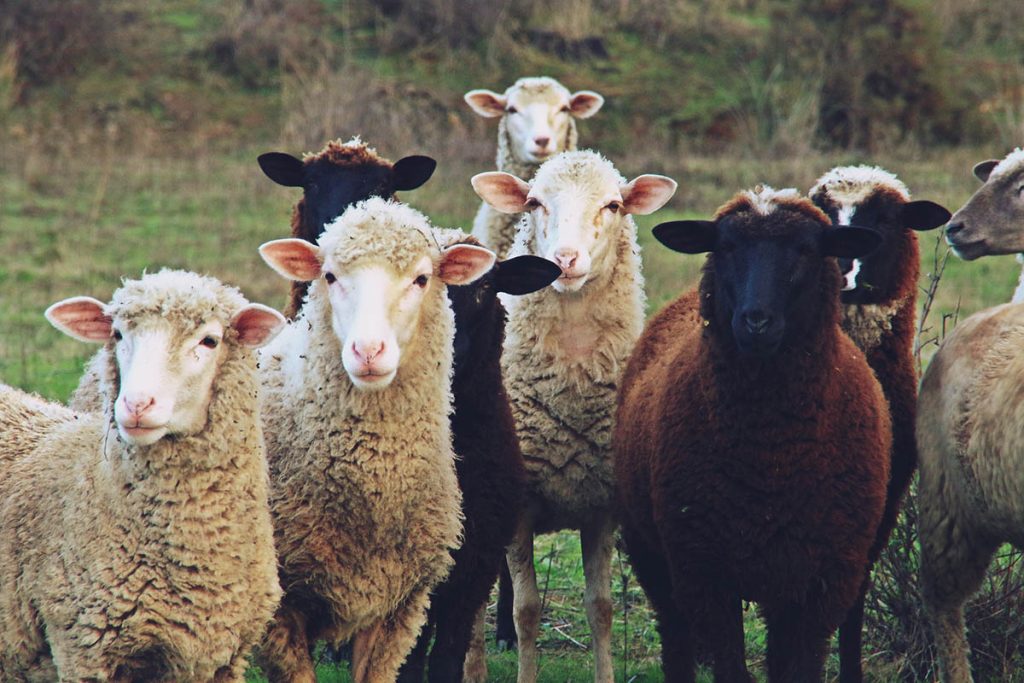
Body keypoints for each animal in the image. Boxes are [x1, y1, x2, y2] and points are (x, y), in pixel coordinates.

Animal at [471, 150, 677, 683]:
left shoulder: (603, 504)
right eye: (535, 203)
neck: (570, 394)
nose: (563, 260)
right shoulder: (520, 506)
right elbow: (526, 610)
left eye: (613, 205)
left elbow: (601, 607)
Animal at [615, 187, 890, 682]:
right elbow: (730, 666)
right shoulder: (704, 572)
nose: (756, 320)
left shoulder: (824, 580)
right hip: (651, 552)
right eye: (725, 247)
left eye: (806, 249)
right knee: (675, 638)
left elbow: (800, 667)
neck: (770, 458)